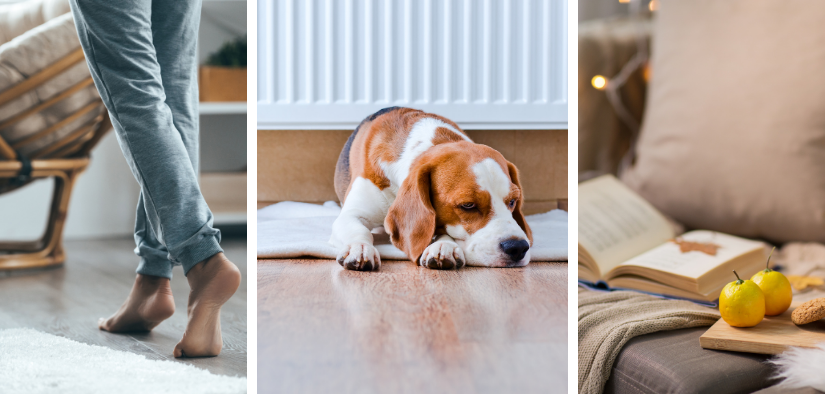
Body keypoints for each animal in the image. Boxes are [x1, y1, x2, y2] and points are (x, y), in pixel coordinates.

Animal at [330, 106, 532, 270]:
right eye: (468, 205)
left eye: (512, 201)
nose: (518, 247)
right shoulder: (352, 214)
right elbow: (360, 230)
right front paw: (360, 248)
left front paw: (444, 246)